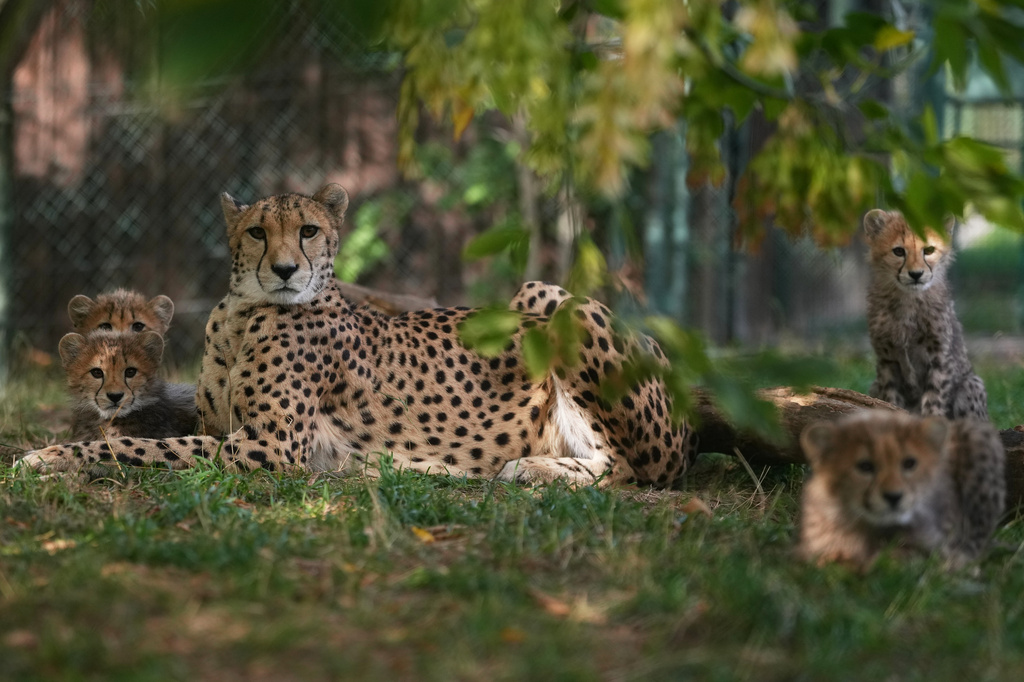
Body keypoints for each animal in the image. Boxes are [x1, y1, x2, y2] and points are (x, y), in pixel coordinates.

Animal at [863, 209, 987, 419]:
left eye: (929, 250)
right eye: (898, 251)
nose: (916, 274)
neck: (909, 300)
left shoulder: (940, 356)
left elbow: (935, 395)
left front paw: (933, 420)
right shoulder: (887, 358)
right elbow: (890, 396)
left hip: (972, 384)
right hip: (873, 386)